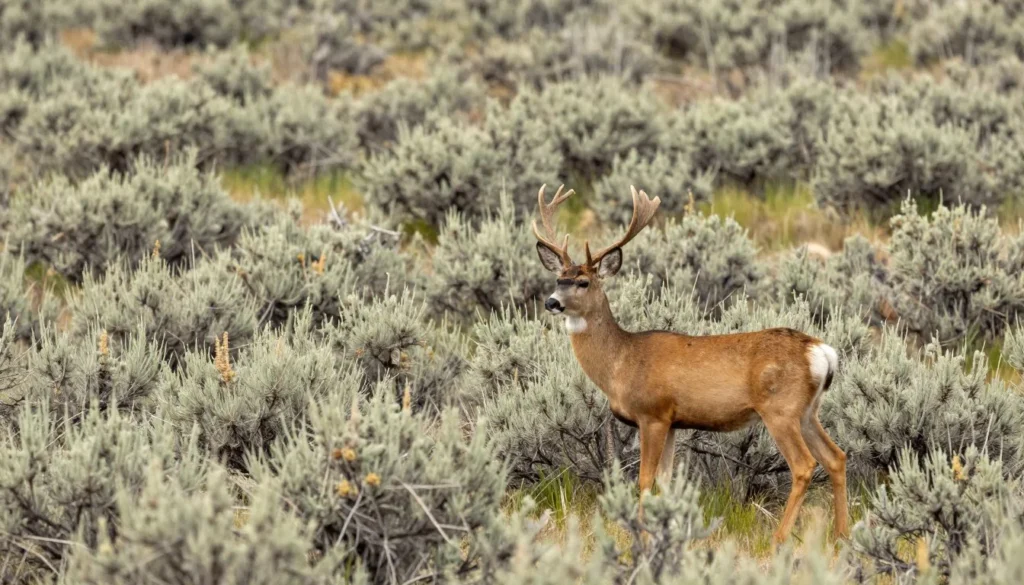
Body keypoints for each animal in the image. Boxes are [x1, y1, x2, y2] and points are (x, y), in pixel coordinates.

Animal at [531, 184, 848, 545]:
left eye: (583, 282)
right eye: (559, 279)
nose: (551, 302)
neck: (621, 362)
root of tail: (821, 351)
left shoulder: (652, 413)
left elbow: (644, 480)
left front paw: (641, 536)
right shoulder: (673, 421)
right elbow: (666, 482)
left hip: (780, 408)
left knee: (804, 465)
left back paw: (779, 538)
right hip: (807, 411)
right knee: (836, 457)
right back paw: (842, 534)